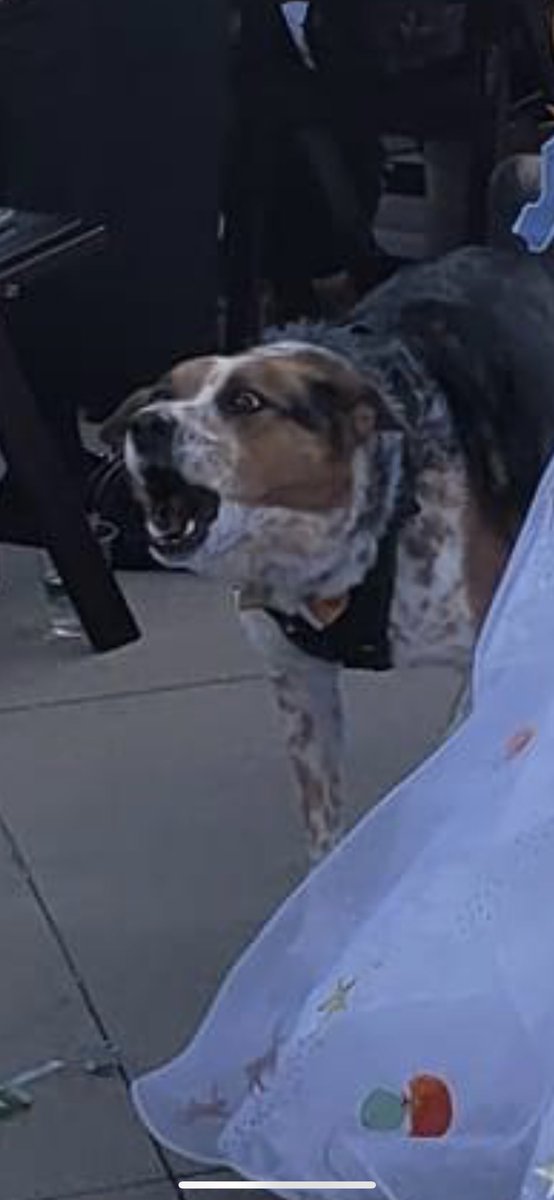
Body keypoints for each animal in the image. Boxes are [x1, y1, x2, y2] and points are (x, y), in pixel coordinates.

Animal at [103, 246, 554, 864]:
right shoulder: (299, 684)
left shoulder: (483, 646)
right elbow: (322, 819)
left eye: (245, 401)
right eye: (158, 395)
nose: (146, 425)